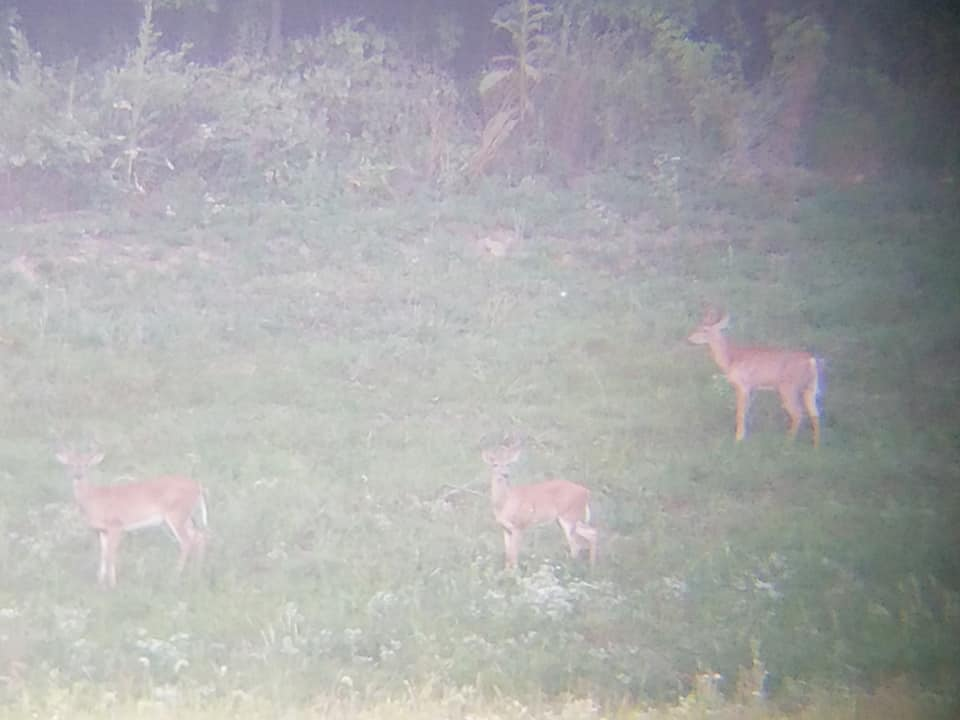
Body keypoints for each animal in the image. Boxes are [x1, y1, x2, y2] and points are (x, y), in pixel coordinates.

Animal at [55, 450, 208, 588]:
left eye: (86, 464)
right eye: (70, 464)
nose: (78, 475)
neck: (94, 499)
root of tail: (198, 487)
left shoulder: (116, 525)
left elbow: (111, 555)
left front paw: (112, 585)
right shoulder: (102, 530)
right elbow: (103, 555)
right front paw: (100, 583)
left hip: (176, 514)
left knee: (187, 542)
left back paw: (175, 577)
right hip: (185, 517)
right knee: (199, 537)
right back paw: (196, 574)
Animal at [687, 310, 821, 447]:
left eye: (705, 329)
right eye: (697, 326)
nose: (689, 338)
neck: (730, 359)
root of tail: (811, 361)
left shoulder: (743, 385)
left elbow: (740, 413)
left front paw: (738, 439)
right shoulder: (752, 388)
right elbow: (746, 412)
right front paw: (744, 436)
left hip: (788, 388)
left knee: (798, 413)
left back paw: (788, 441)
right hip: (810, 388)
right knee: (815, 414)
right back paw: (816, 446)